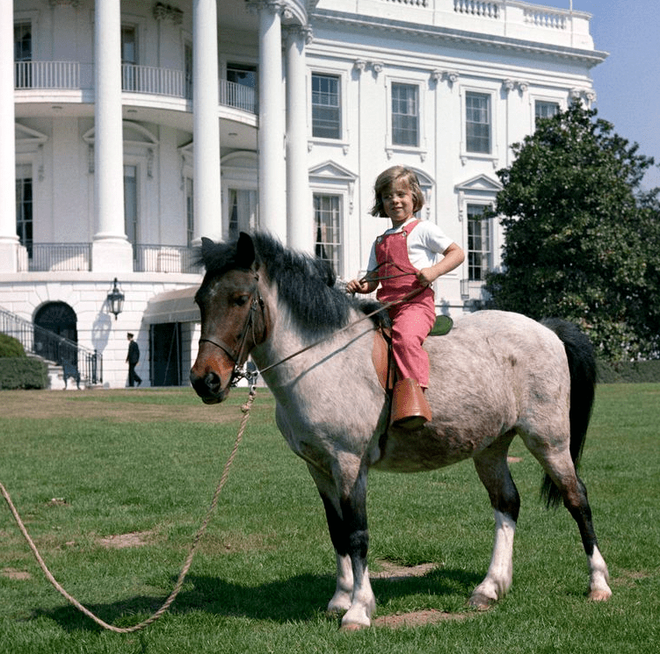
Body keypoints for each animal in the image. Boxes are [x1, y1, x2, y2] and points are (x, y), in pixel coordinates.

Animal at [188, 234, 612, 632]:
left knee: (577, 499)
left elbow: (357, 533)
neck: (321, 358)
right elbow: (337, 531)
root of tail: (546, 329)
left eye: (241, 299)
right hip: (490, 447)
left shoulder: (349, 464)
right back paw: (489, 588)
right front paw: (340, 598)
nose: (205, 381)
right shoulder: (319, 468)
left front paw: (358, 609)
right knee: (507, 503)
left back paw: (598, 584)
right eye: (199, 301)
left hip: (549, 440)